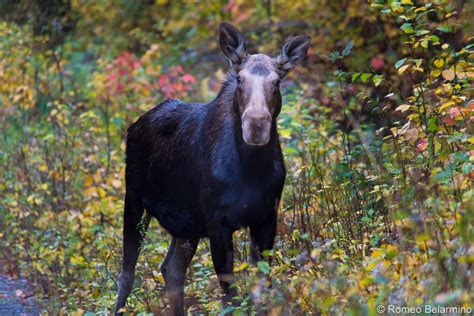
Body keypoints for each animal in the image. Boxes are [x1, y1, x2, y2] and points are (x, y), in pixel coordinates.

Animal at [115, 23, 312, 314]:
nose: (256, 126)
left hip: (186, 225)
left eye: (277, 81)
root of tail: (134, 126)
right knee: (126, 275)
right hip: (134, 201)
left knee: (171, 268)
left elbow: (261, 289)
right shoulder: (218, 223)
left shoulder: (267, 218)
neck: (252, 169)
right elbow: (229, 296)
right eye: (239, 79)